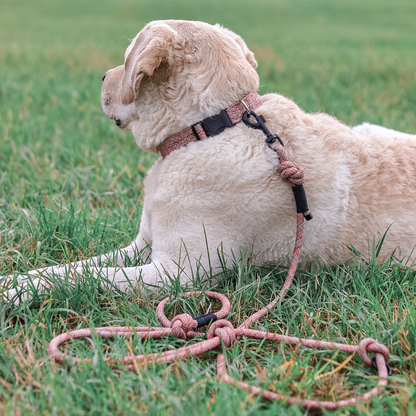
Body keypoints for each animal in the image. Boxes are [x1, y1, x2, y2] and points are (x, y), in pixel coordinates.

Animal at [3, 20, 416, 300]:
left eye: (126, 59)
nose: (103, 76)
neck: (212, 126)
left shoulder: (176, 273)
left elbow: (82, 277)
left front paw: (15, 293)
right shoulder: (140, 246)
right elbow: (73, 267)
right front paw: (17, 279)